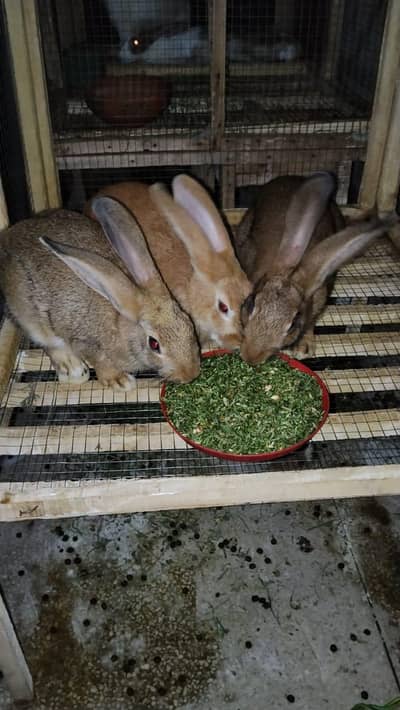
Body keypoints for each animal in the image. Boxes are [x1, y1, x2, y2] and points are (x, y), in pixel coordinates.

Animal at [0, 198, 200, 390]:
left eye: (189, 322)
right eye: (154, 344)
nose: (190, 374)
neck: (118, 321)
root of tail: (8, 237)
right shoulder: (87, 343)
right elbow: (102, 363)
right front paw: (119, 381)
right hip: (30, 317)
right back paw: (73, 368)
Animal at [233, 173, 394, 365]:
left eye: (293, 323)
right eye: (251, 304)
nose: (251, 357)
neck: (292, 271)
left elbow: (310, 324)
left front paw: (304, 348)